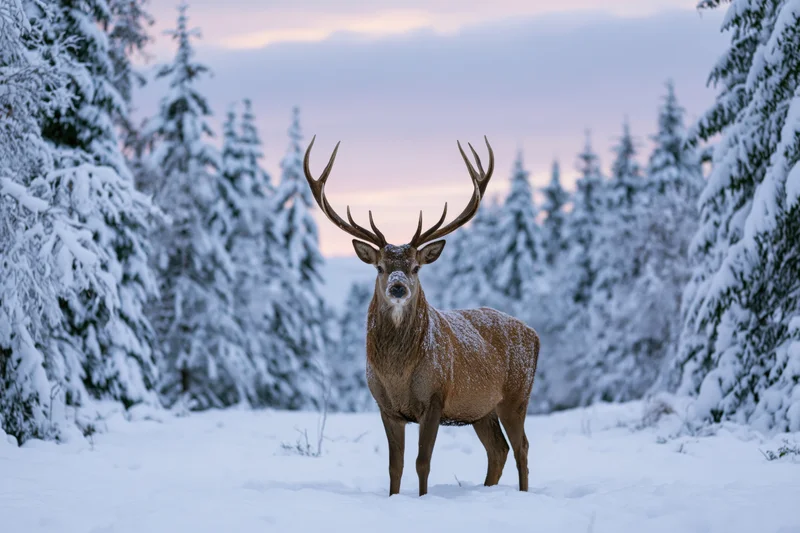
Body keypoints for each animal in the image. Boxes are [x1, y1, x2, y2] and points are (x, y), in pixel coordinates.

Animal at [303, 136, 540, 497]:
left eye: (415, 267)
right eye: (380, 267)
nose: (398, 287)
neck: (397, 374)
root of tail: (535, 334)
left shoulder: (435, 397)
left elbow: (422, 463)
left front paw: (423, 498)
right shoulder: (386, 406)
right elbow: (395, 466)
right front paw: (394, 497)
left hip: (517, 394)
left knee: (522, 447)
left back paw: (523, 493)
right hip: (481, 408)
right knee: (498, 450)